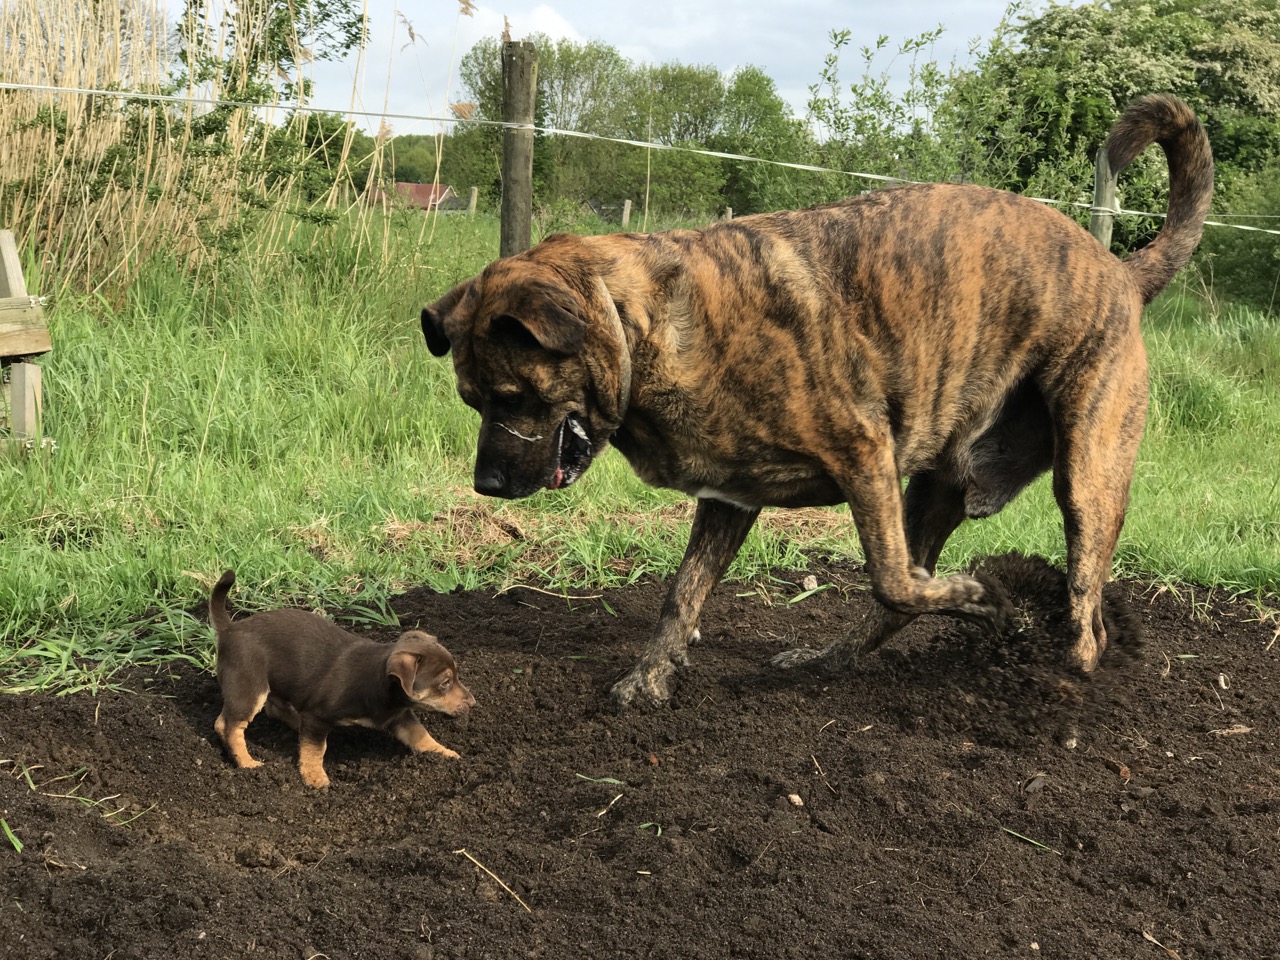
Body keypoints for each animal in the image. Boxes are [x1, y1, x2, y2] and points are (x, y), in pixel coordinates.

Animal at [209, 570, 476, 788]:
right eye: (445, 683)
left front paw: (446, 754)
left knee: (275, 709)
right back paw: (247, 763)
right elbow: (316, 749)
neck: (379, 683)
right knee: (228, 725)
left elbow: (421, 736)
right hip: (249, 686)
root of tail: (230, 629)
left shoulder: (401, 716)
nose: (473, 703)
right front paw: (315, 778)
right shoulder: (317, 716)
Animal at [424, 96, 1213, 716]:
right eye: (470, 399)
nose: (484, 485)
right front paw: (651, 676)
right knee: (890, 610)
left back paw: (1056, 678)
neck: (648, 326)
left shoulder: (864, 454)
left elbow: (894, 580)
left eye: (511, 397)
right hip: (940, 485)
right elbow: (683, 595)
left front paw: (986, 595)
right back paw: (826, 661)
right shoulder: (729, 498)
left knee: (1078, 615)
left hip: (1087, 475)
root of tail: (1121, 271)